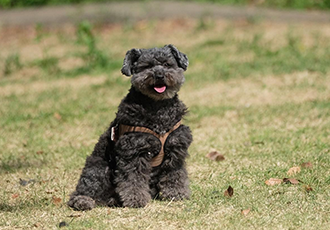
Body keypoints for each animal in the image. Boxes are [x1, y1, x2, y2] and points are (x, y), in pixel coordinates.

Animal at [68, 43, 193, 210]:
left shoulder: (175, 147)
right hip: (99, 168)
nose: (159, 74)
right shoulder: (133, 151)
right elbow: (133, 180)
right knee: (83, 190)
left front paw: (176, 193)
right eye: (147, 66)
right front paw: (136, 200)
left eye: (167, 64)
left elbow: (175, 174)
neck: (157, 106)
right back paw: (83, 201)